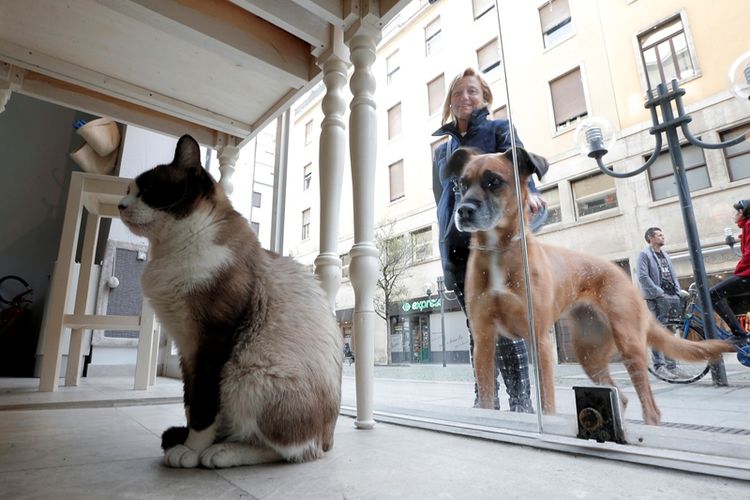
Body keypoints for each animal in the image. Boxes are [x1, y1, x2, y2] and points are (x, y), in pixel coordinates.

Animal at [117, 134, 344, 468]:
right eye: (129, 191)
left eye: (148, 191)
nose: (120, 206)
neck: (167, 249)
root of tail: (330, 438)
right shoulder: (186, 346)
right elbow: (190, 402)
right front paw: (188, 444)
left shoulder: (212, 341)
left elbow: (202, 405)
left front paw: (192, 451)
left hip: (245, 376)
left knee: (294, 451)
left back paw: (222, 452)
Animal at [450, 146, 736, 424]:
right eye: (461, 185)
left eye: (494, 181)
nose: (462, 211)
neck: (498, 248)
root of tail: (620, 273)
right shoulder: (483, 341)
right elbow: (487, 399)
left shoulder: (539, 340)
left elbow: (547, 403)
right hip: (589, 354)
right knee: (619, 396)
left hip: (629, 345)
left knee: (650, 407)